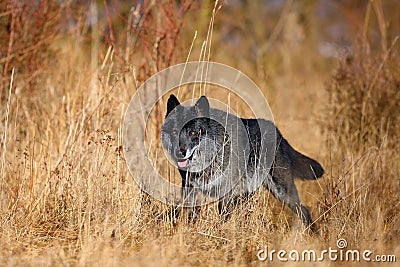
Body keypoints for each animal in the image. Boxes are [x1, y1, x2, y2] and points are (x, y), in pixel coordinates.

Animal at [161, 95, 324, 229]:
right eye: (175, 132)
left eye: (193, 133)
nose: (180, 152)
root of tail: (279, 133)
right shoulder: (190, 189)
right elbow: (187, 213)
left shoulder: (225, 193)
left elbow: (222, 217)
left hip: (282, 192)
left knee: (304, 211)